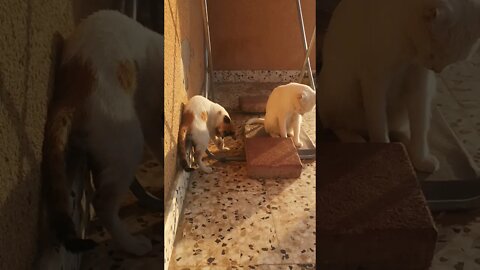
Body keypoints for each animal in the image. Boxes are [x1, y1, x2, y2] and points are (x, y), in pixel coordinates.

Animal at [318, 0, 480, 173]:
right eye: (432, 54)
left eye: (449, 61)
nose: (436, 70)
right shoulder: (375, 79)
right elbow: (379, 128)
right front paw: (384, 156)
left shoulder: (419, 80)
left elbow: (420, 127)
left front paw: (420, 159)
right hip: (342, 92)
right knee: (338, 126)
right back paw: (357, 141)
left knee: (400, 129)